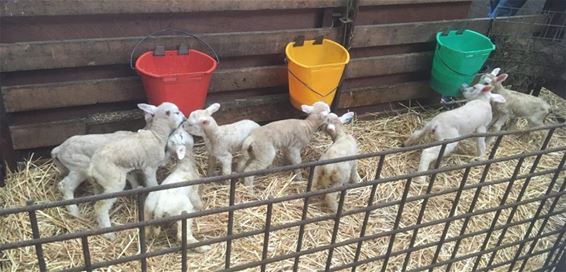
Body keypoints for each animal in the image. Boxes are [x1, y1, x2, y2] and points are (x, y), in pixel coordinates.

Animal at [89, 102, 185, 238]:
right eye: (176, 112)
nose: (185, 118)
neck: (157, 135)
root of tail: (92, 167)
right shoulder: (150, 167)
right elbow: (152, 184)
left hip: (100, 183)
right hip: (113, 182)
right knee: (100, 206)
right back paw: (109, 234)